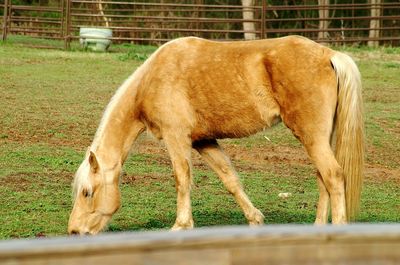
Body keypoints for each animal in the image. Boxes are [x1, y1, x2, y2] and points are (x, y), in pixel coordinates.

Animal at [67, 35, 364, 235]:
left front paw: (181, 225)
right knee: (323, 178)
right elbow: (230, 179)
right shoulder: (204, 141)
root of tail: (329, 55)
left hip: (311, 136)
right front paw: (255, 219)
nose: (74, 231)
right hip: (320, 137)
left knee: (333, 176)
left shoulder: (177, 137)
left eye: (87, 192)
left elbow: (182, 179)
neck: (152, 80)